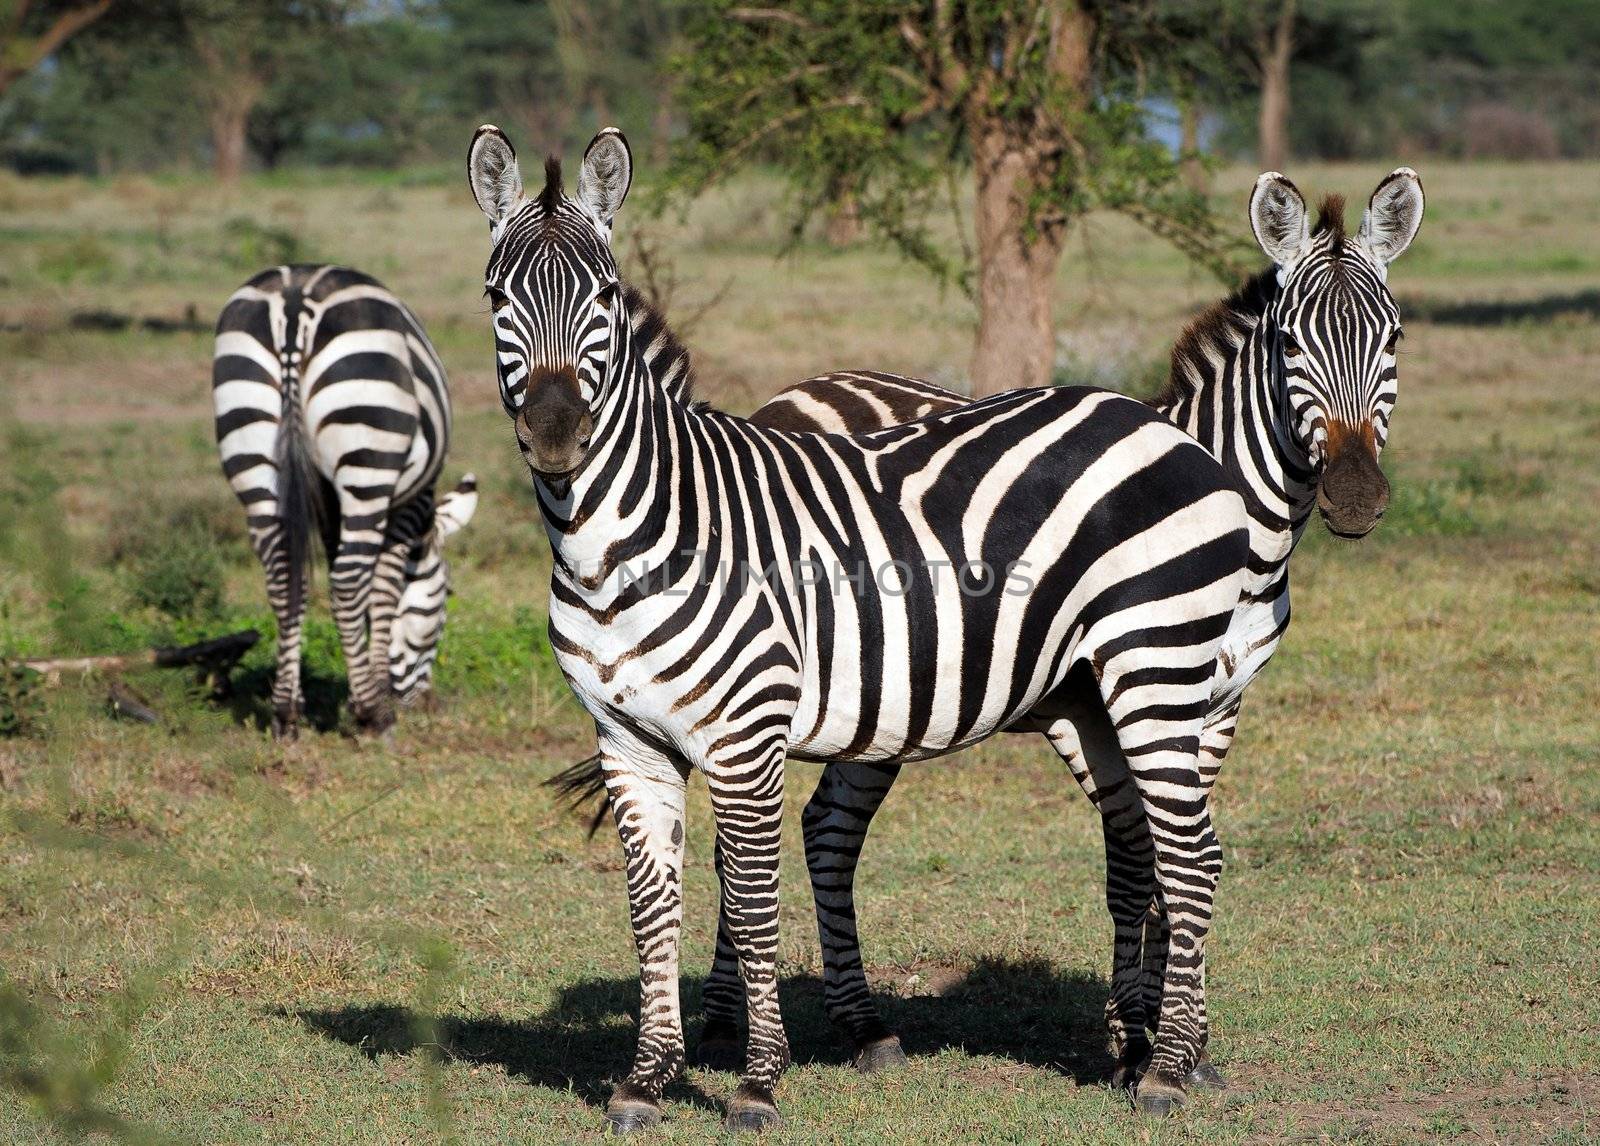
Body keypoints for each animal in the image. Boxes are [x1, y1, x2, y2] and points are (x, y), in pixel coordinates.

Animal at [212, 264, 476, 739]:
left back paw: (285, 713)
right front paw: (372, 690)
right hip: (368, 447)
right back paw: (374, 717)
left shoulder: (327, 505)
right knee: (349, 580)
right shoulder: (408, 501)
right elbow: (383, 588)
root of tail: (294, 303)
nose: (429, 703)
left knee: (284, 578)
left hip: (251, 447)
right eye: (445, 596)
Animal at [467, 125, 1254, 1126]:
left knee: (1194, 856)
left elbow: (750, 899)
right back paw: (1142, 1050)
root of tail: (1157, 424)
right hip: (1091, 698)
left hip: (1159, 666)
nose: (558, 433)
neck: (627, 539)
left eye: (604, 297)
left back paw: (1170, 1071)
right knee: (1148, 847)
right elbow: (651, 906)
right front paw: (646, 1079)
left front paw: (757, 1082)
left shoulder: (745, 735)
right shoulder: (626, 739)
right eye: (498, 299)